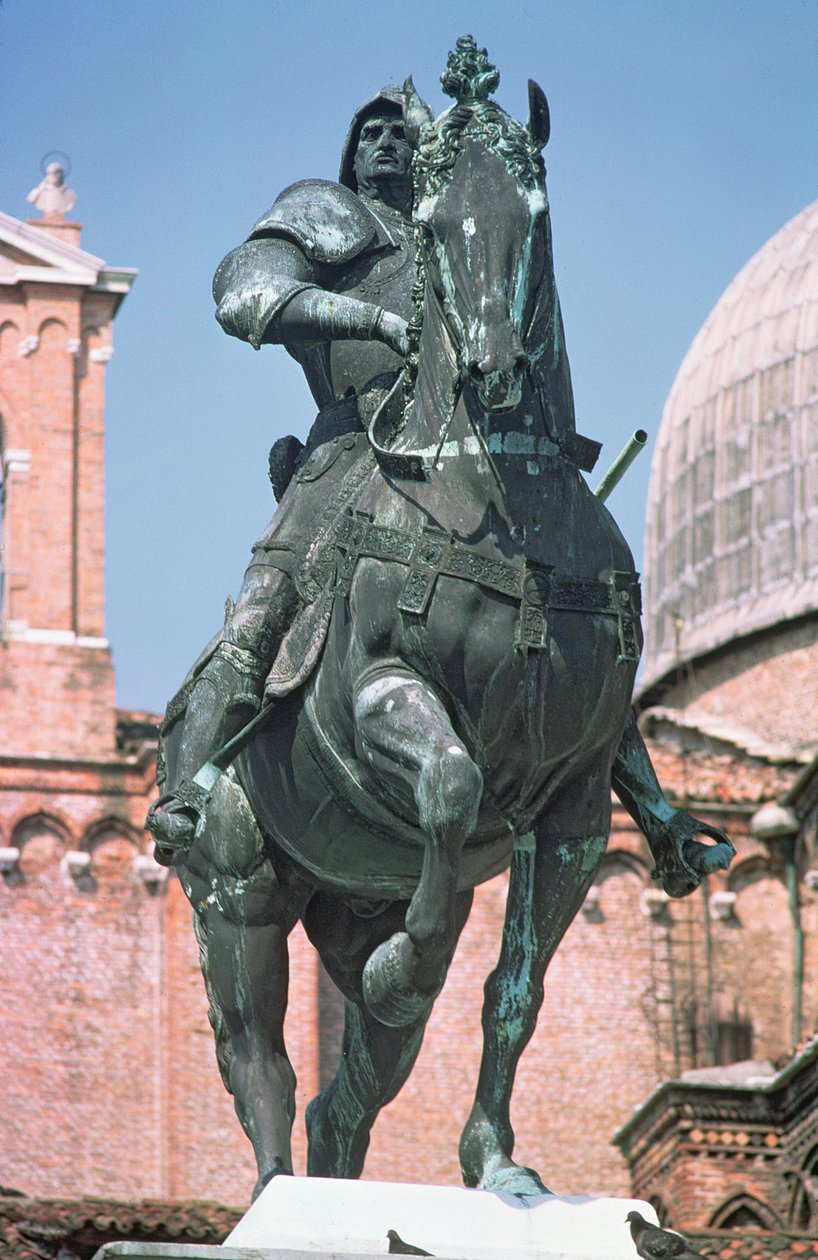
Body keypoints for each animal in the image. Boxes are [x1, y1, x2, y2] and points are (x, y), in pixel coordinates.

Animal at [166, 44, 645, 1194]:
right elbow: (450, 783)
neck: (504, 507)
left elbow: (511, 994)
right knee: (261, 1063)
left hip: (353, 898)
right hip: (237, 894)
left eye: (532, 201)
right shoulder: (391, 698)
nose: (491, 367)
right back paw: (274, 1191)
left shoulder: (572, 807)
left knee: (351, 1092)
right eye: (431, 213)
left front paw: (497, 1165)